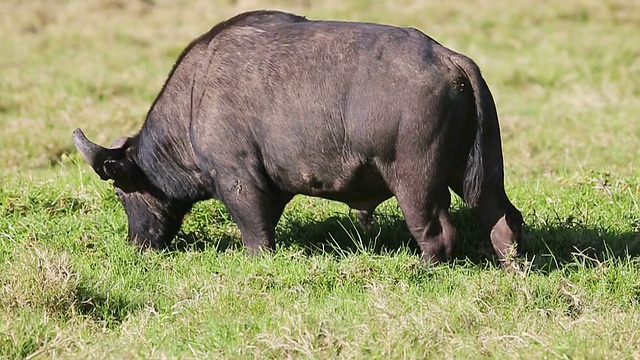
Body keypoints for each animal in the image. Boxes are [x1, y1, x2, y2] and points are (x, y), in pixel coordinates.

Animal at [74, 9, 524, 264]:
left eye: (121, 193)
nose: (136, 243)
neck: (193, 99)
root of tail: (449, 58)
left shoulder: (238, 180)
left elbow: (255, 232)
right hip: (480, 175)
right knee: (504, 218)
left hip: (416, 183)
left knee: (438, 234)